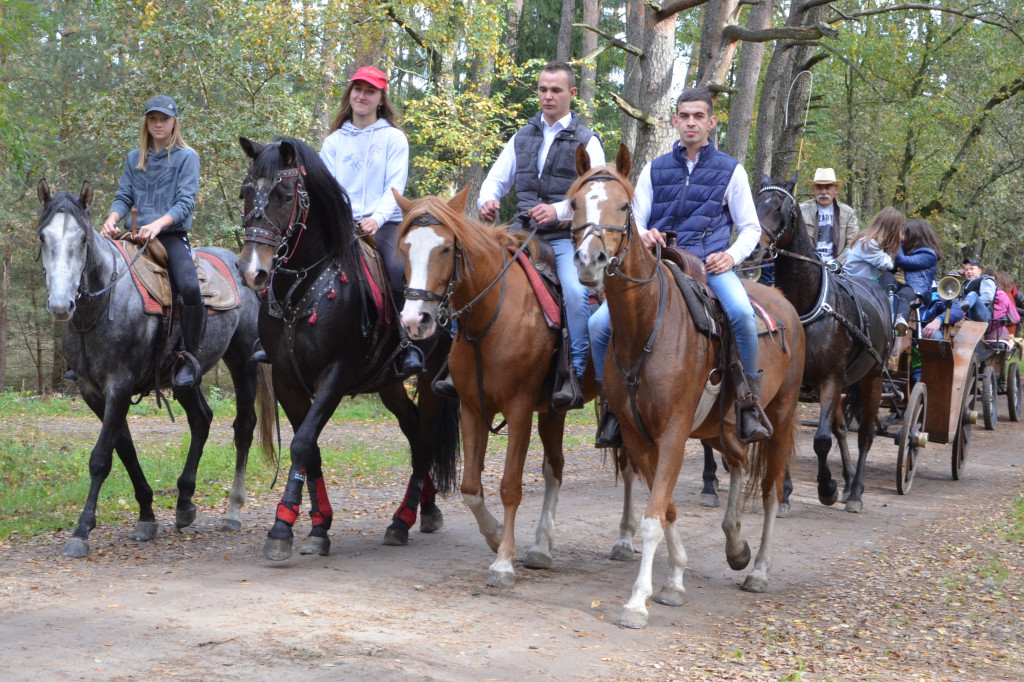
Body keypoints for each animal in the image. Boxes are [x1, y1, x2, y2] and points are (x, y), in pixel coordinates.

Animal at [37, 178, 276, 557]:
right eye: (44, 238)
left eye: (83, 239)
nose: (61, 305)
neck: (105, 305)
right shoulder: (94, 392)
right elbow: (125, 449)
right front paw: (147, 515)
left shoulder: (119, 386)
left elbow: (101, 457)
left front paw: (81, 531)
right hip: (184, 378)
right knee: (201, 419)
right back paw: (184, 503)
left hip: (243, 362)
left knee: (243, 427)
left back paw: (233, 511)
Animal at [235, 134, 460, 557]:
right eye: (245, 193)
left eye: (284, 196)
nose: (252, 270)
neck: (303, 287)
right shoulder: (288, 381)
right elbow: (310, 450)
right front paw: (318, 525)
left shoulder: (335, 376)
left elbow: (302, 445)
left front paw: (282, 528)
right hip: (389, 384)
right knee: (413, 428)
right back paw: (427, 509)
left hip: (429, 379)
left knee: (423, 438)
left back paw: (403, 519)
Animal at [393, 186, 638, 585]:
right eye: (405, 247)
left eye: (445, 249)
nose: (416, 320)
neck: (492, 315)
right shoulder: (472, 408)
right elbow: (471, 487)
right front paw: (494, 536)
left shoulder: (519, 409)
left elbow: (510, 486)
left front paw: (504, 562)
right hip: (553, 411)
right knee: (555, 467)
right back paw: (541, 548)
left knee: (628, 465)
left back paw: (625, 539)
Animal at [569, 146, 806, 630]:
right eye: (575, 203)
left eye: (623, 207)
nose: (589, 260)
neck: (647, 325)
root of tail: (786, 307)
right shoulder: (638, 436)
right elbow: (666, 509)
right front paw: (675, 581)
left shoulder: (674, 432)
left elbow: (653, 516)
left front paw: (637, 601)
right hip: (719, 427)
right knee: (737, 463)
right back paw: (736, 546)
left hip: (780, 415)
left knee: (771, 492)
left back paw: (758, 570)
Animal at [749, 174, 892, 509]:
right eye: (755, 201)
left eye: (782, 209)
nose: (754, 250)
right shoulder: (796, 382)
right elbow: (788, 433)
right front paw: (785, 492)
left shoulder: (829, 379)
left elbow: (822, 440)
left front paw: (828, 488)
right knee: (841, 428)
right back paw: (850, 480)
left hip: (872, 377)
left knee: (865, 434)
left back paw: (855, 492)